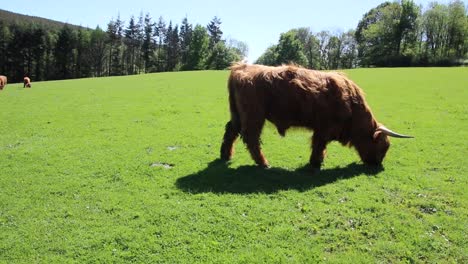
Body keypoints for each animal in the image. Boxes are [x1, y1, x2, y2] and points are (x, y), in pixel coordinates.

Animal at [220, 62, 414, 169]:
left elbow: (320, 146)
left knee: (231, 132)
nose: (377, 164)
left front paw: (317, 161)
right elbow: (319, 145)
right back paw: (264, 163)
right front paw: (315, 163)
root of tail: (240, 68)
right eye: (383, 146)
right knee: (251, 138)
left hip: (237, 114)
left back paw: (225, 156)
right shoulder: (325, 128)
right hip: (253, 115)